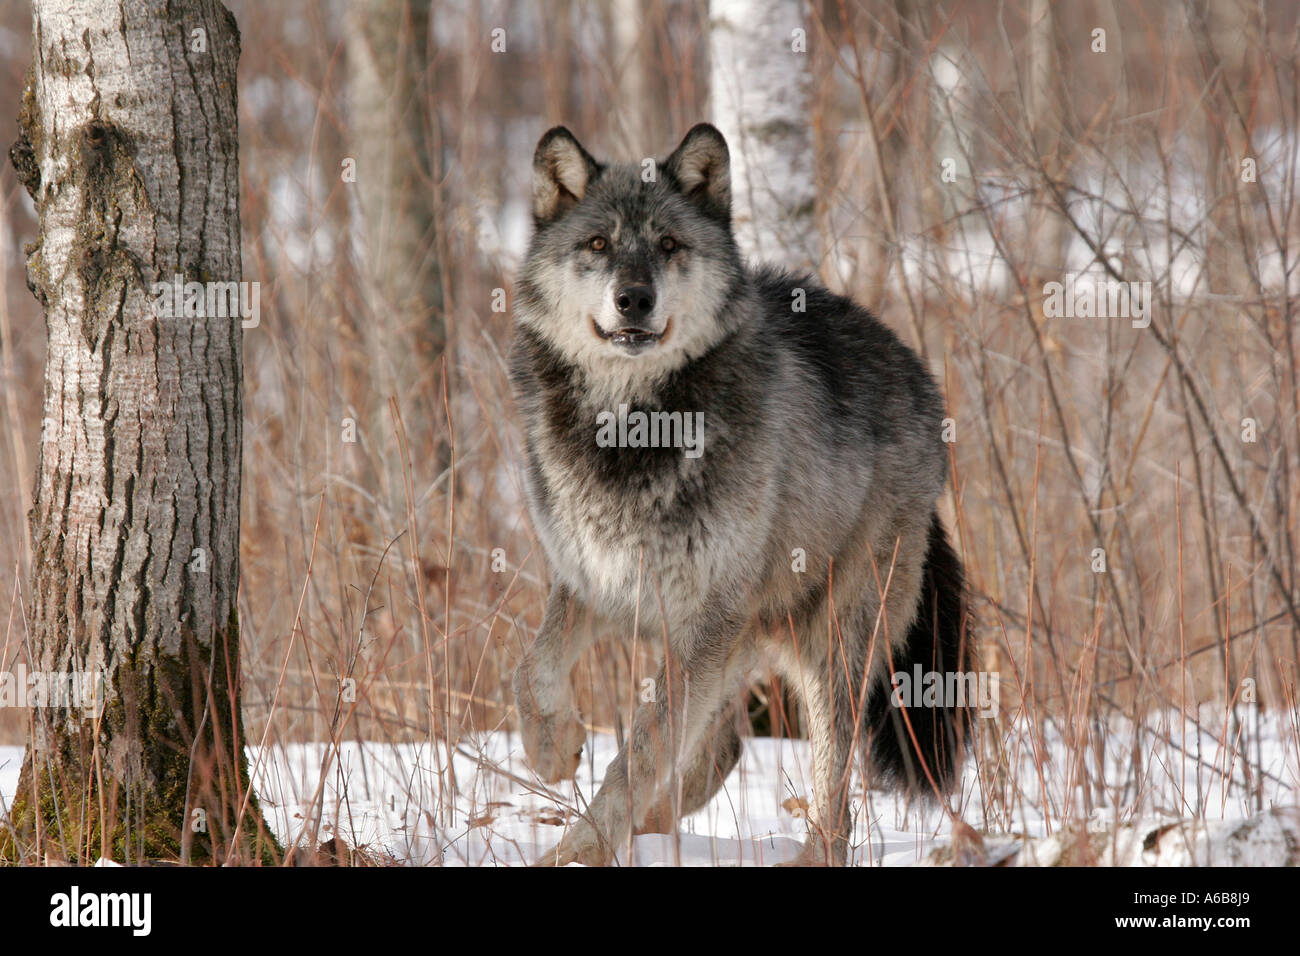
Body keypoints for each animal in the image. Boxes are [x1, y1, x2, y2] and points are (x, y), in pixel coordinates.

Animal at [510, 123, 973, 866]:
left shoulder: (704, 619)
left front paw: (580, 848)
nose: (633, 299)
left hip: (829, 641)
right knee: (721, 749)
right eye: (598, 245)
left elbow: (643, 748)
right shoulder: (593, 581)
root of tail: (915, 368)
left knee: (832, 790)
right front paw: (553, 752)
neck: (634, 429)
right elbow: (534, 673)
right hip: (746, 638)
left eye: (670, 244)